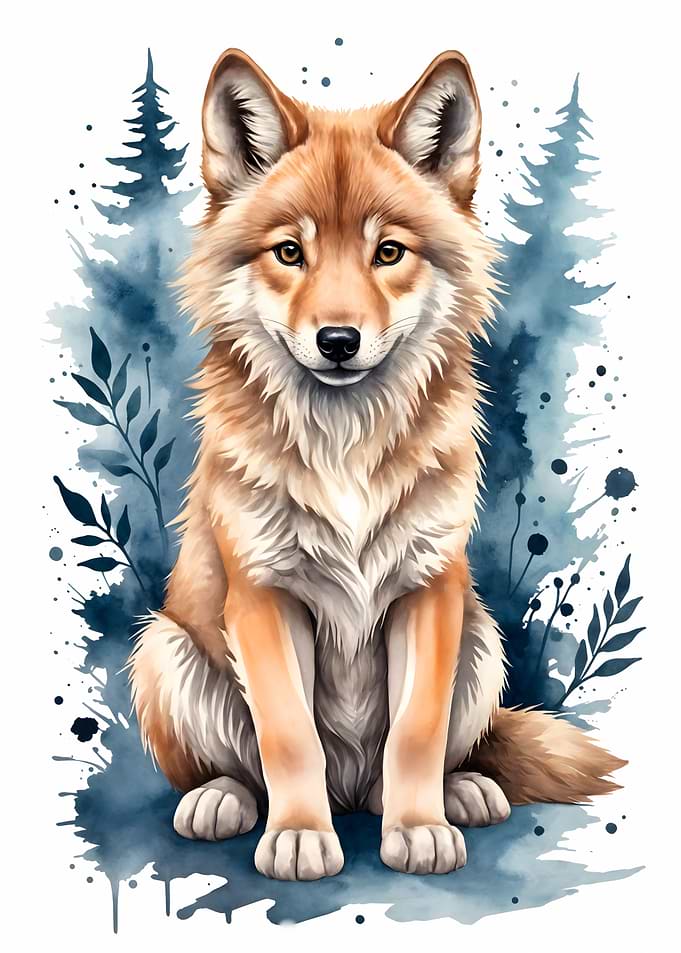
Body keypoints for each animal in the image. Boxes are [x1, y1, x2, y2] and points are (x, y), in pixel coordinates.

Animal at [128, 48, 624, 881]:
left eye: (386, 252)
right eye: (289, 252)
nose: (337, 340)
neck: (344, 445)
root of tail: (352, 790)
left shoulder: (429, 591)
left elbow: (415, 733)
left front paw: (419, 827)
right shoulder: (264, 598)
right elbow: (288, 735)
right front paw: (299, 836)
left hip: (480, 638)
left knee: (434, 752)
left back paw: (460, 792)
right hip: (164, 648)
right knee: (235, 767)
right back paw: (221, 800)